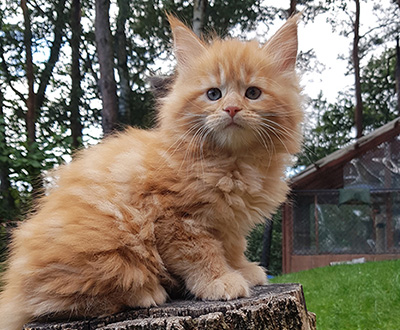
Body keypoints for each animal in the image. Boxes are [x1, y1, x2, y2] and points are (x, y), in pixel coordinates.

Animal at [0, 14, 302, 328]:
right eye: (213, 94)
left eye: (252, 93)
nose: (231, 109)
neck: (233, 163)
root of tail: (12, 289)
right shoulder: (174, 218)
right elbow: (201, 253)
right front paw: (219, 281)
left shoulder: (229, 223)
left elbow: (232, 247)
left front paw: (243, 269)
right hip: (105, 245)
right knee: (55, 301)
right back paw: (145, 292)